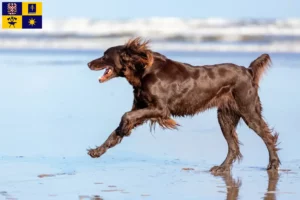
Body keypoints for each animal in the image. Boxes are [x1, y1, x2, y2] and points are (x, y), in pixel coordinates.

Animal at [88, 38, 280, 173]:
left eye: (105, 55)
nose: (89, 63)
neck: (144, 71)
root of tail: (248, 71)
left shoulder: (160, 109)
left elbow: (126, 115)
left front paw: (123, 129)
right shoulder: (142, 108)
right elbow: (119, 127)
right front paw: (98, 150)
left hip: (248, 110)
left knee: (267, 137)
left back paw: (273, 164)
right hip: (225, 117)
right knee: (233, 146)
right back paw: (222, 168)